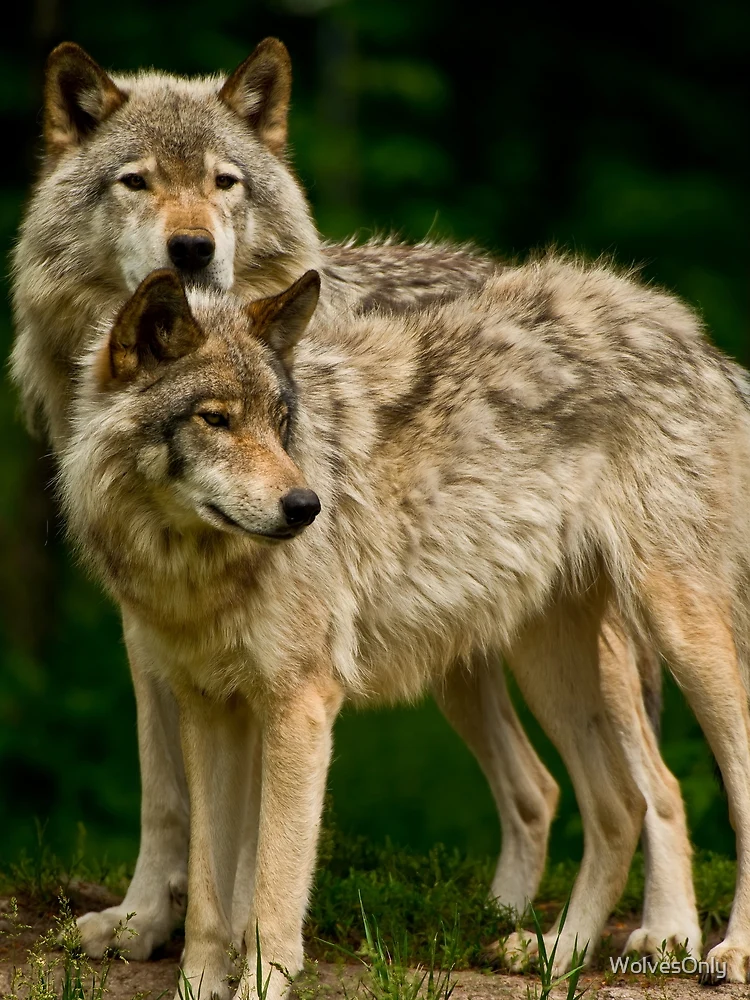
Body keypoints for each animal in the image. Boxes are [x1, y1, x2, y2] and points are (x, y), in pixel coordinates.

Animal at [11, 41, 694, 965]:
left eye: (225, 181)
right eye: (136, 181)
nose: (190, 250)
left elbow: (255, 832)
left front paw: (240, 942)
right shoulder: (155, 632)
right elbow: (169, 796)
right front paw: (147, 919)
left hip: (595, 638)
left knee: (657, 783)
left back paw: (670, 931)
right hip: (463, 652)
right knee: (538, 789)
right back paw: (500, 918)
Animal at [59, 258, 750, 998]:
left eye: (280, 421)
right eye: (215, 419)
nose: (306, 507)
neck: (194, 566)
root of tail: (695, 338)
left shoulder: (300, 708)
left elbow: (271, 887)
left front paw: (262, 982)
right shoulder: (210, 709)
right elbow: (210, 897)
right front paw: (197, 983)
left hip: (678, 634)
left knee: (709, 785)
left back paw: (727, 949)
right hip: (544, 665)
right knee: (619, 804)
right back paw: (557, 954)